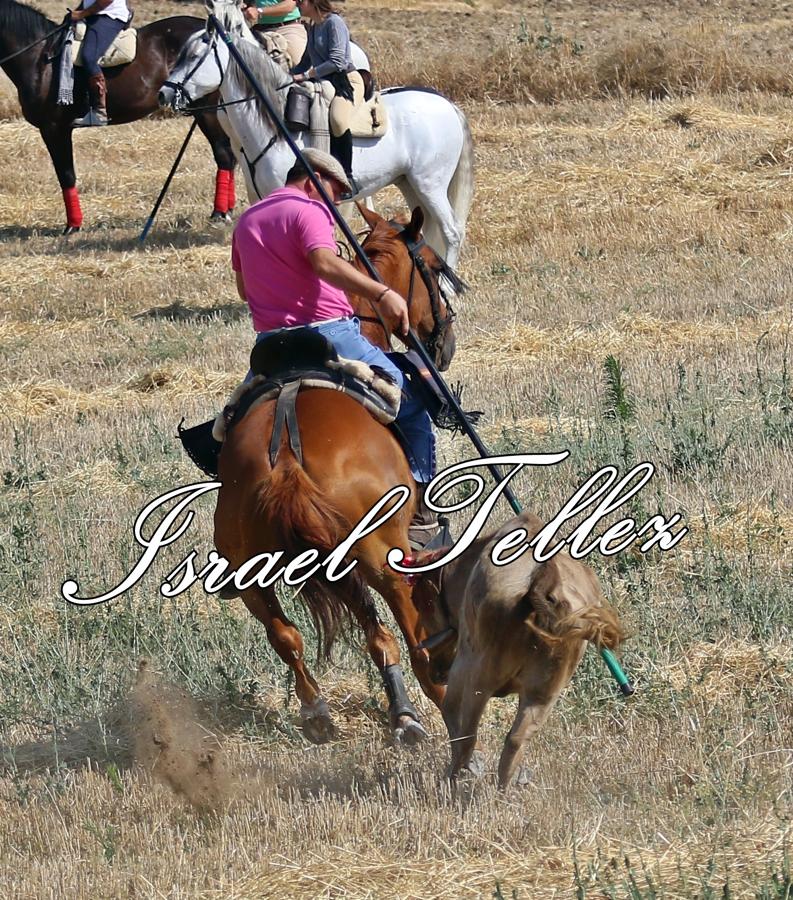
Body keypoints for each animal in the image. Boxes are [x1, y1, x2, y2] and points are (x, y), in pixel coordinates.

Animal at [0, 0, 235, 236]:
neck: (41, 59)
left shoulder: (54, 128)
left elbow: (66, 175)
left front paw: (73, 225)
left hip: (207, 111)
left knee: (224, 155)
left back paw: (219, 213)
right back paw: (228, 210)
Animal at [158, 0, 474, 266]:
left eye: (194, 56)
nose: (164, 94)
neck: (279, 126)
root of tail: (447, 105)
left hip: (430, 184)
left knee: (451, 231)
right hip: (409, 183)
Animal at [213, 206, 460, 744]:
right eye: (432, 266)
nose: (444, 342)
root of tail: (286, 462)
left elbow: (370, 633)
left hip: (252, 572)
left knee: (290, 637)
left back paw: (319, 712)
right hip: (383, 558)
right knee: (418, 646)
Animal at [408, 512, 624, 788]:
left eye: (420, 602)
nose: (435, 671)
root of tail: (542, 583)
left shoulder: (462, 665)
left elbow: (450, 712)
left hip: (477, 676)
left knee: (467, 735)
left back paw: (449, 782)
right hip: (542, 695)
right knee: (515, 741)